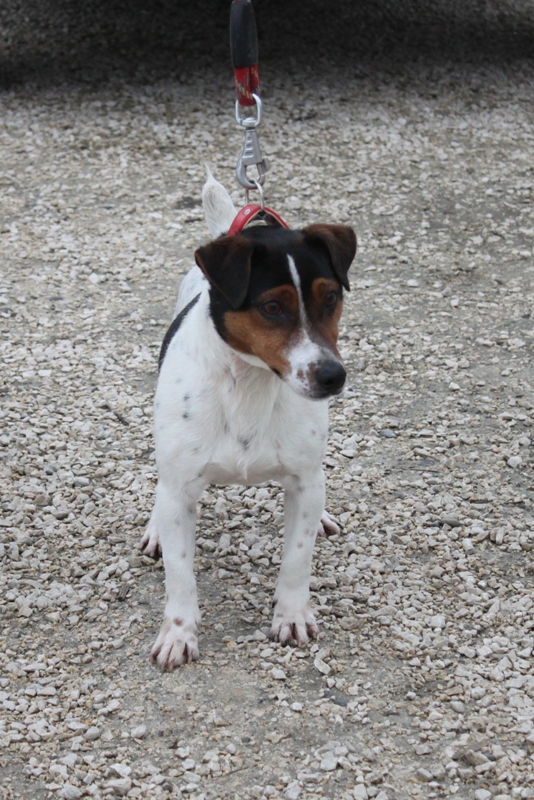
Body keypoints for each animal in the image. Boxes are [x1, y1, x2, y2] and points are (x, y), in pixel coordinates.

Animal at [140, 173, 358, 668]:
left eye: (331, 297)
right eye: (272, 307)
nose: (332, 376)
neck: (250, 383)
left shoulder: (303, 480)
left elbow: (297, 559)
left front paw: (291, 615)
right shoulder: (179, 487)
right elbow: (180, 574)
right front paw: (178, 633)